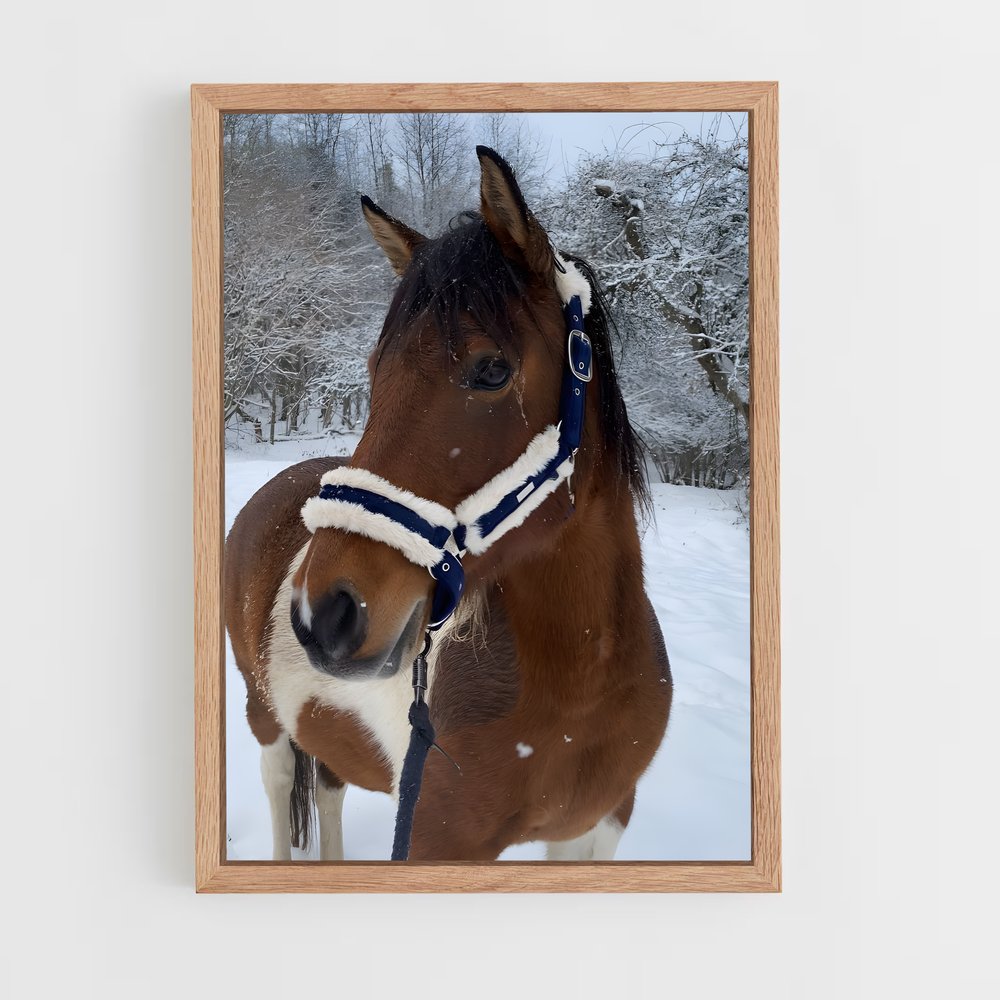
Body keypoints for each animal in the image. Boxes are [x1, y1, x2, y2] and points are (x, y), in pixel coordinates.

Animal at [224, 146, 673, 862]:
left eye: (492, 370)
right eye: (375, 370)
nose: (325, 614)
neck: (583, 680)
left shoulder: (599, 825)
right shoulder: (440, 841)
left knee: (329, 789)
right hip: (264, 716)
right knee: (279, 788)